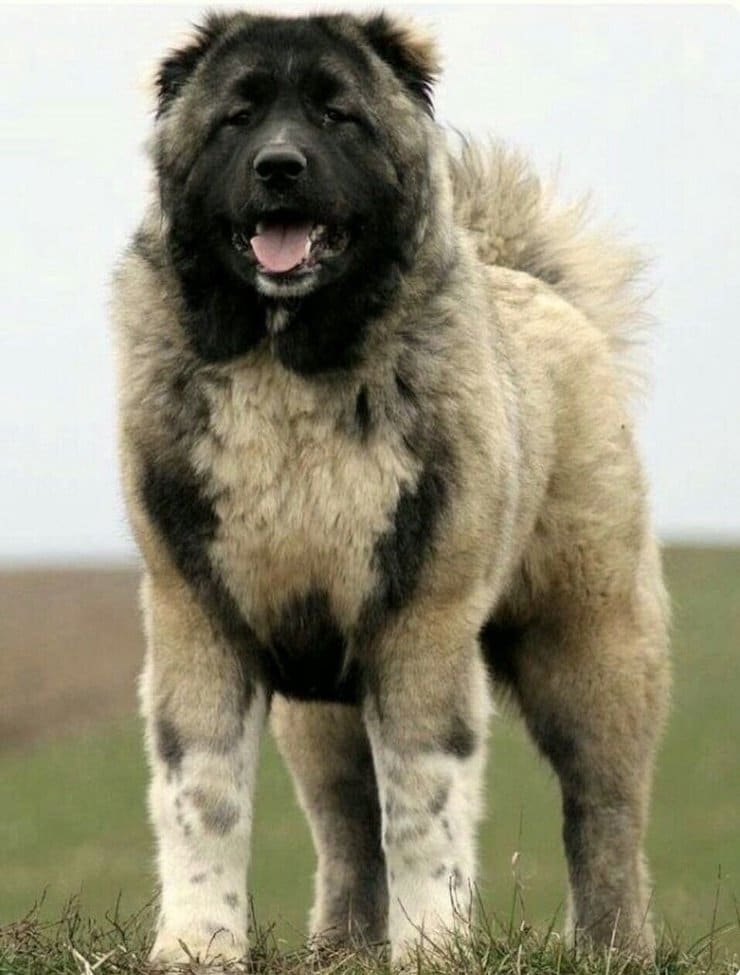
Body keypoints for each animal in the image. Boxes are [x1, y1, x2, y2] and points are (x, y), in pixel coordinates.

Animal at [110, 9, 672, 968]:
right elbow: (204, 799)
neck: (289, 373)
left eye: (338, 115)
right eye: (237, 117)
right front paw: (197, 946)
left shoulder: (419, 628)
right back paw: (340, 945)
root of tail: (536, 284)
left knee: (606, 811)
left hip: (588, 644)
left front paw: (434, 946)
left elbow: (423, 808)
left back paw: (612, 946)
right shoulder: (202, 617)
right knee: (345, 825)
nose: (279, 166)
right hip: (321, 711)